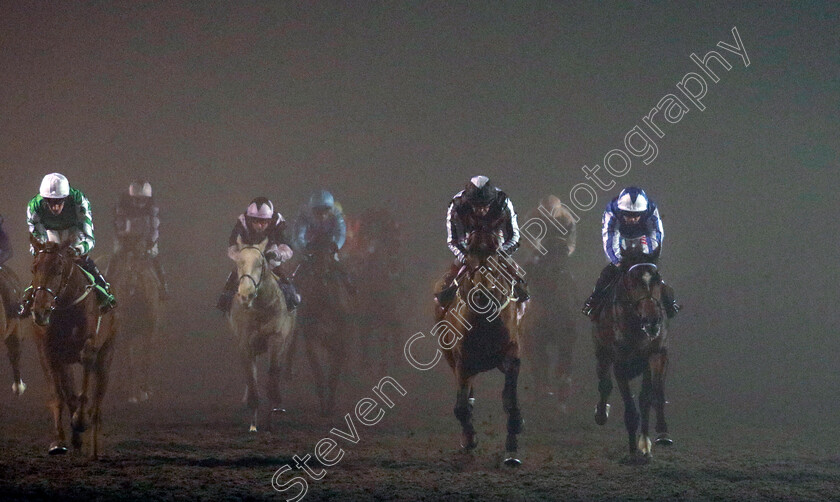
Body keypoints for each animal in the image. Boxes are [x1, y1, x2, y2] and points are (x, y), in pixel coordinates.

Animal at [27, 237, 117, 456]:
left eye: (58, 270)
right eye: (34, 268)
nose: (40, 311)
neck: (65, 307)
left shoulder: (91, 345)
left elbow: (86, 361)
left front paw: (81, 420)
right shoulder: (48, 353)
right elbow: (59, 395)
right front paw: (59, 441)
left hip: (106, 354)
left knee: (98, 399)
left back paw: (94, 447)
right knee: (70, 395)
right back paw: (76, 440)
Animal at [292, 239, 352, 416]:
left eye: (329, 257)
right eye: (313, 256)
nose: (321, 272)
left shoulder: (340, 341)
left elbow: (334, 373)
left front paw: (330, 404)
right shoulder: (312, 339)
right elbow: (318, 370)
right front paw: (324, 404)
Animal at [440, 219, 524, 466]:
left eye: (496, 253)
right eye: (469, 252)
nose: (482, 293)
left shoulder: (511, 356)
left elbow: (510, 402)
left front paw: (512, 449)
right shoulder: (462, 363)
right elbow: (461, 407)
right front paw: (469, 440)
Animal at [592, 239, 672, 462]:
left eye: (657, 279)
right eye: (632, 281)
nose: (652, 320)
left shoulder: (656, 354)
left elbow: (653, 395)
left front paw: (658, 435)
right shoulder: (620, 362)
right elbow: (629, 408)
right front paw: (632, 451)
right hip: (601, 353)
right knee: (604, 384)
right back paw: (601, 413)